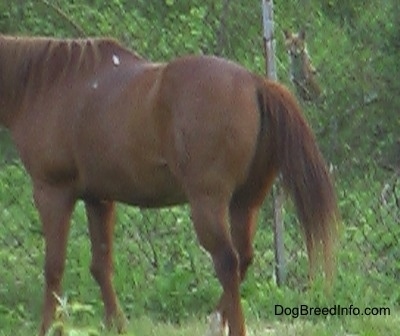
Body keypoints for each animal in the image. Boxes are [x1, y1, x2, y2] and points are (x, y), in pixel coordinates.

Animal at [0, 34, 338, 336]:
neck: (48, 83)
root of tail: (255, 83)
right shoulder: (99, 198)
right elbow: (101, 264)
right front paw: (117, 325)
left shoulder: (52, 192)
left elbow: (53, 268)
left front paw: (48, 328)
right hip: (245, 202)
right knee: (243, 258)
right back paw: (216, 321)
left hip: (208, 204)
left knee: (227, 262)